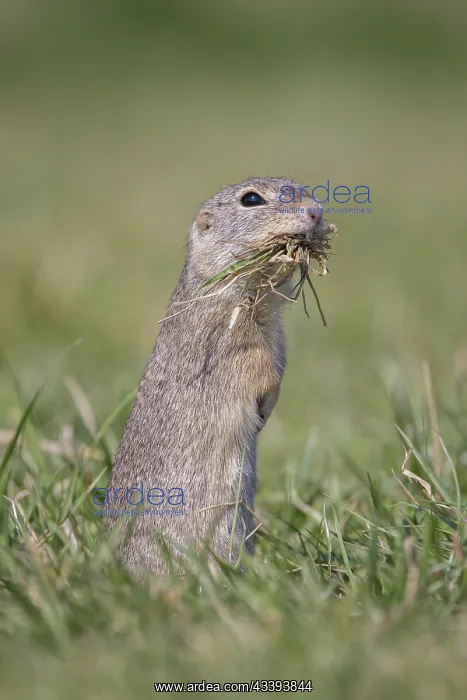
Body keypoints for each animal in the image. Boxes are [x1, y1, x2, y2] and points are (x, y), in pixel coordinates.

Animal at [105, 177, 329, 581]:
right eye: (251, 199)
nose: (317, 212)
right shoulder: (233, 337)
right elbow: (259, 370)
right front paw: (264, 407)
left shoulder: (277, 336)